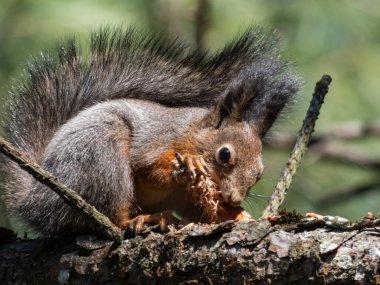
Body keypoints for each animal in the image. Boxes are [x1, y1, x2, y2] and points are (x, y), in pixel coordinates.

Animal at [1, 26, 302, 236]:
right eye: (224, 154)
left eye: (259, 173)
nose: (235, 198)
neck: (191, 132)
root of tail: (36, 199)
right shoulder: (159, 138)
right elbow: (145, 165)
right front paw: (186, 165)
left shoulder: (189, 200)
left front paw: (235, 214)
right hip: (98, 157)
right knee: (108, 216)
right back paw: (144, 218)